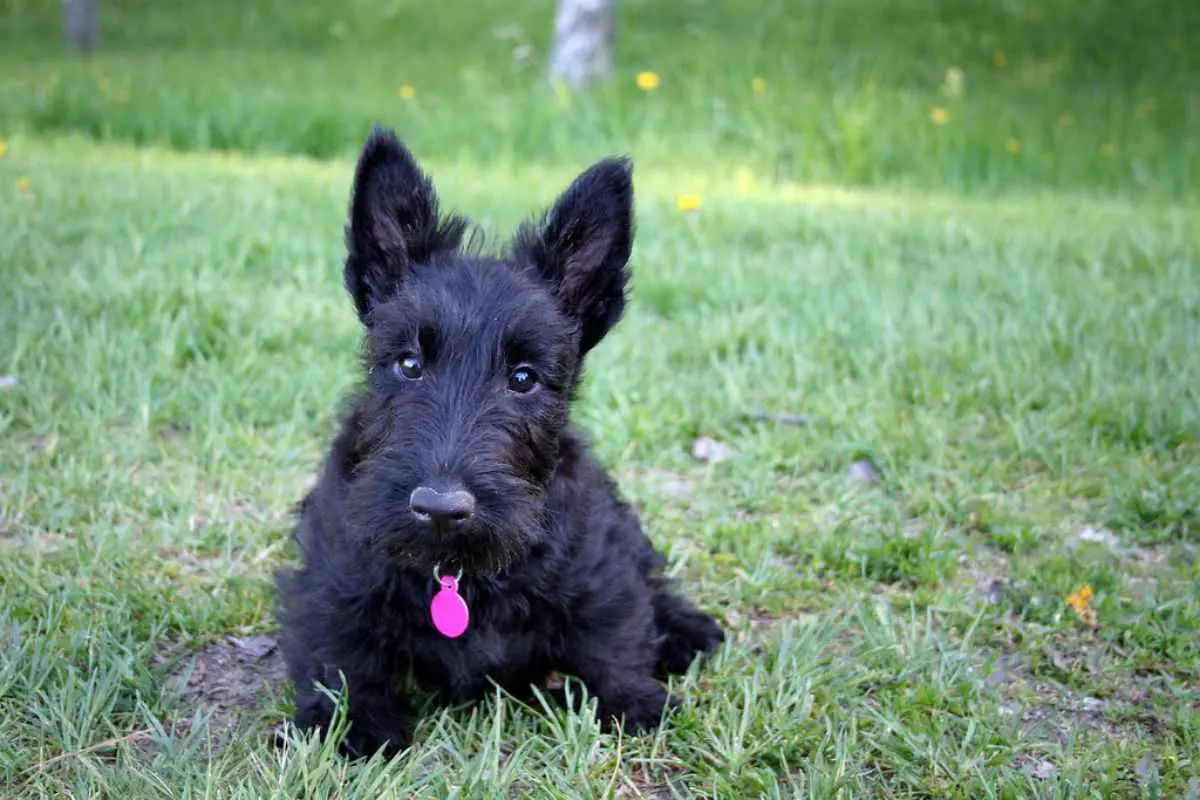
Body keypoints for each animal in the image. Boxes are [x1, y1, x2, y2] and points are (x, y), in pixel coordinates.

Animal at [277, 128, 724, 762]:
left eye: (523, 377)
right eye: (408, 363)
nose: (440, 509)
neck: (455, 574)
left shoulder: (598, 569)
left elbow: (613, 633)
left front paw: (636, 700)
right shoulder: (334, 582)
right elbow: (342, 656)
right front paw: (355, 724)